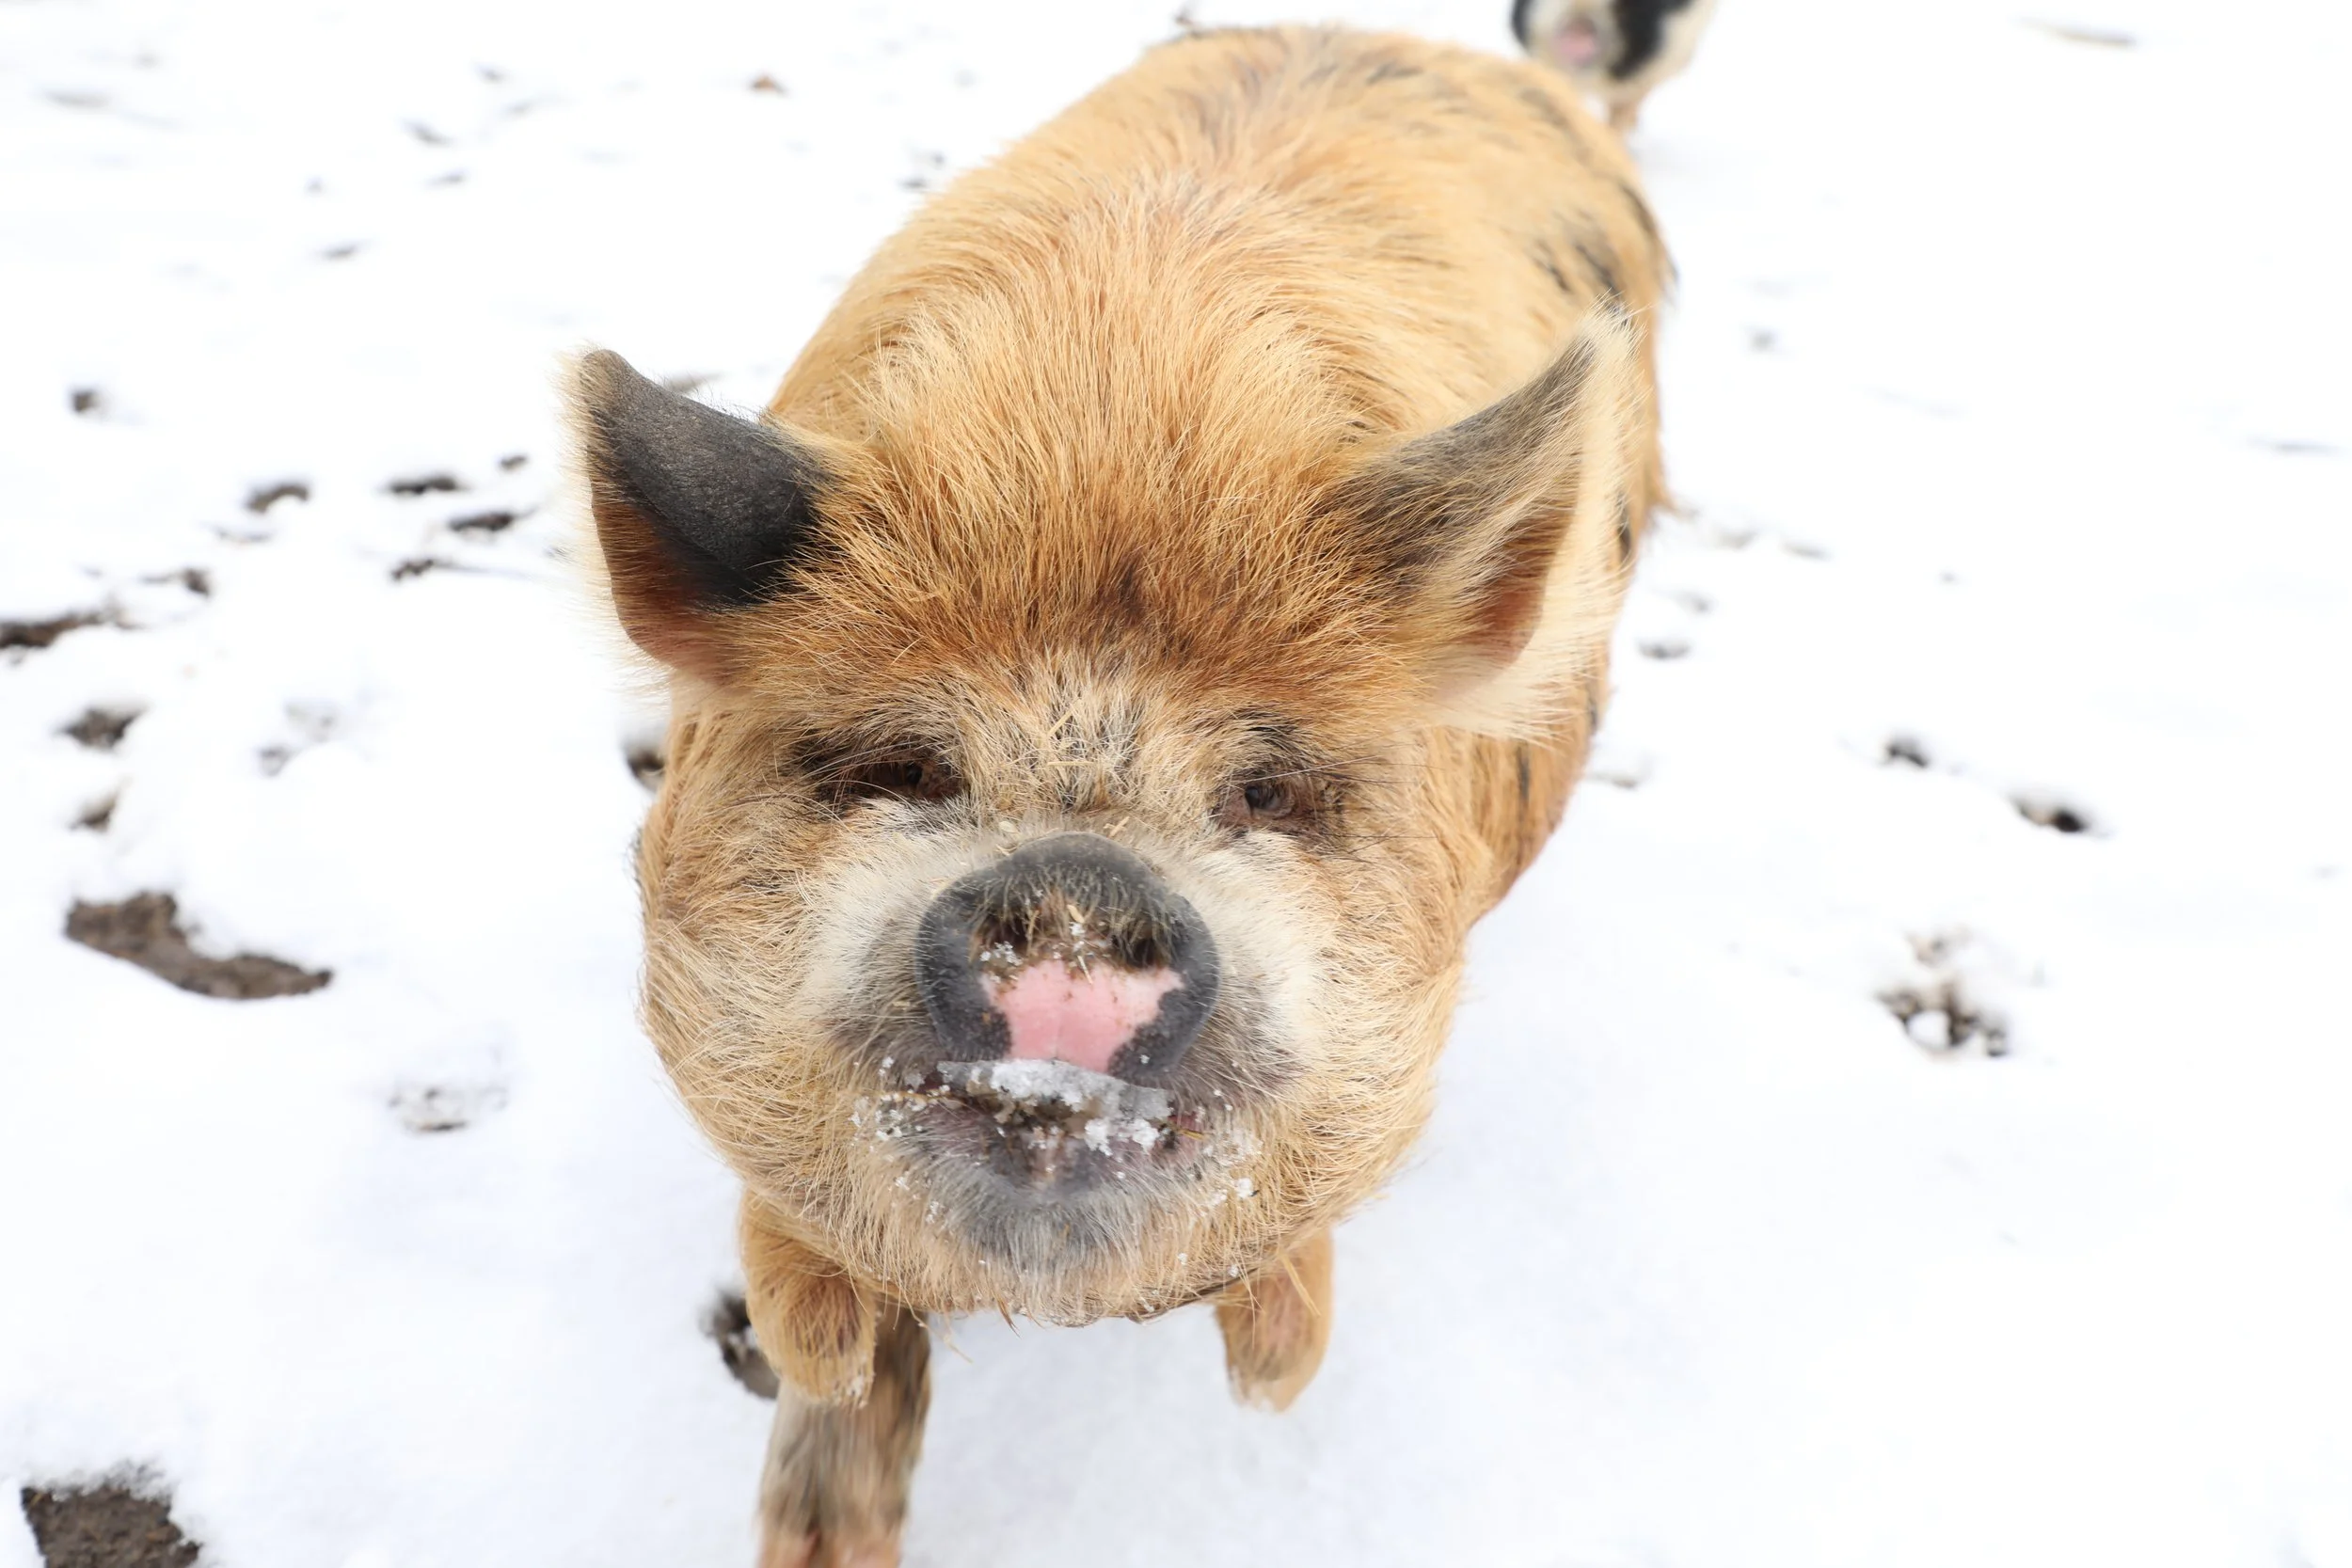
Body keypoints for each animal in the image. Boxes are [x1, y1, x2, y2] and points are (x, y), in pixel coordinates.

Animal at [568, 23, 1670, 1567]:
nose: (1078, 887)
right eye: (906, 765)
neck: (1114, 429)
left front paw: (1272, 1375)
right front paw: (819, 1503)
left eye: (1264, 789)